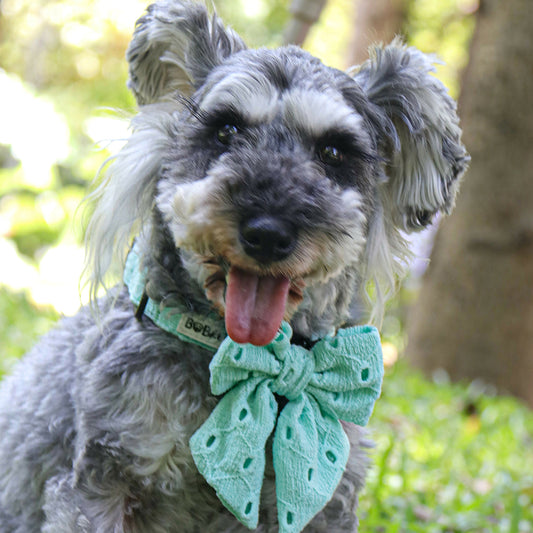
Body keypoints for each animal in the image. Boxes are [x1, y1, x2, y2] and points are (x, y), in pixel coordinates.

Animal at [0, 2, 466, 528]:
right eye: (226, 129)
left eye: (333, 152)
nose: (268, 233)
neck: (247, 362)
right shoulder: (103, 477)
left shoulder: (325, 504)